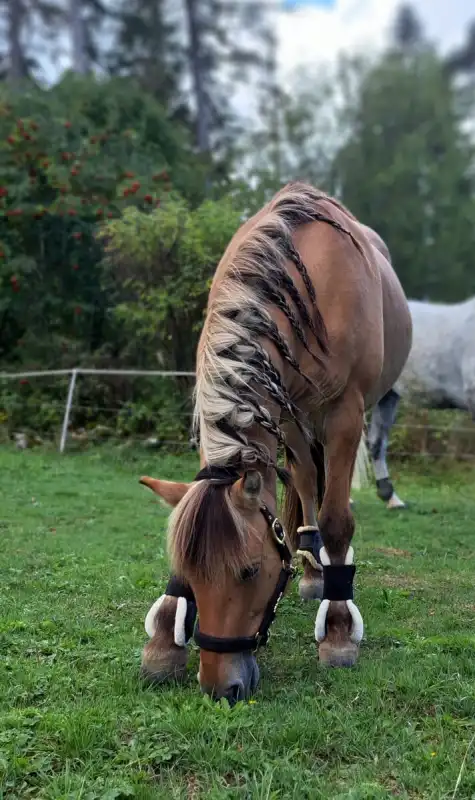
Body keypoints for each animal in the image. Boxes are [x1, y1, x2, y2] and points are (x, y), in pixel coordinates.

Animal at [139, 183, 412, 700]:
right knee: (304, 480)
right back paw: (312, 570)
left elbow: (338, 520)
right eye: (190, 570)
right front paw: (165, 637)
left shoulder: (345, 412)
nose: (220, 687)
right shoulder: (282, 412)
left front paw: (339, 631)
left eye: (249, 571)